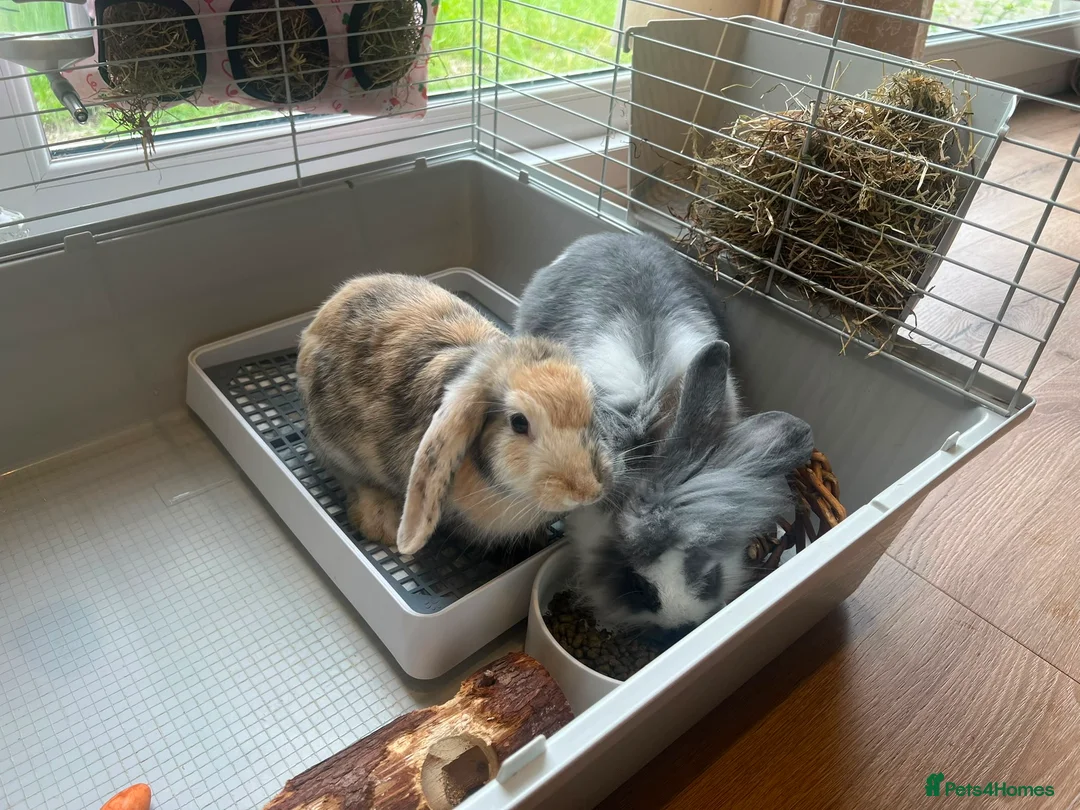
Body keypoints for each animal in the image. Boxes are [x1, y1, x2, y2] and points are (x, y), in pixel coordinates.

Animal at [296, 273, 611, 556]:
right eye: (519, 422)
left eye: (590, 408)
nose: (585, 491)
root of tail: (322, 314)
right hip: (331, 442)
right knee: (349, 476)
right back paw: (381, 521)